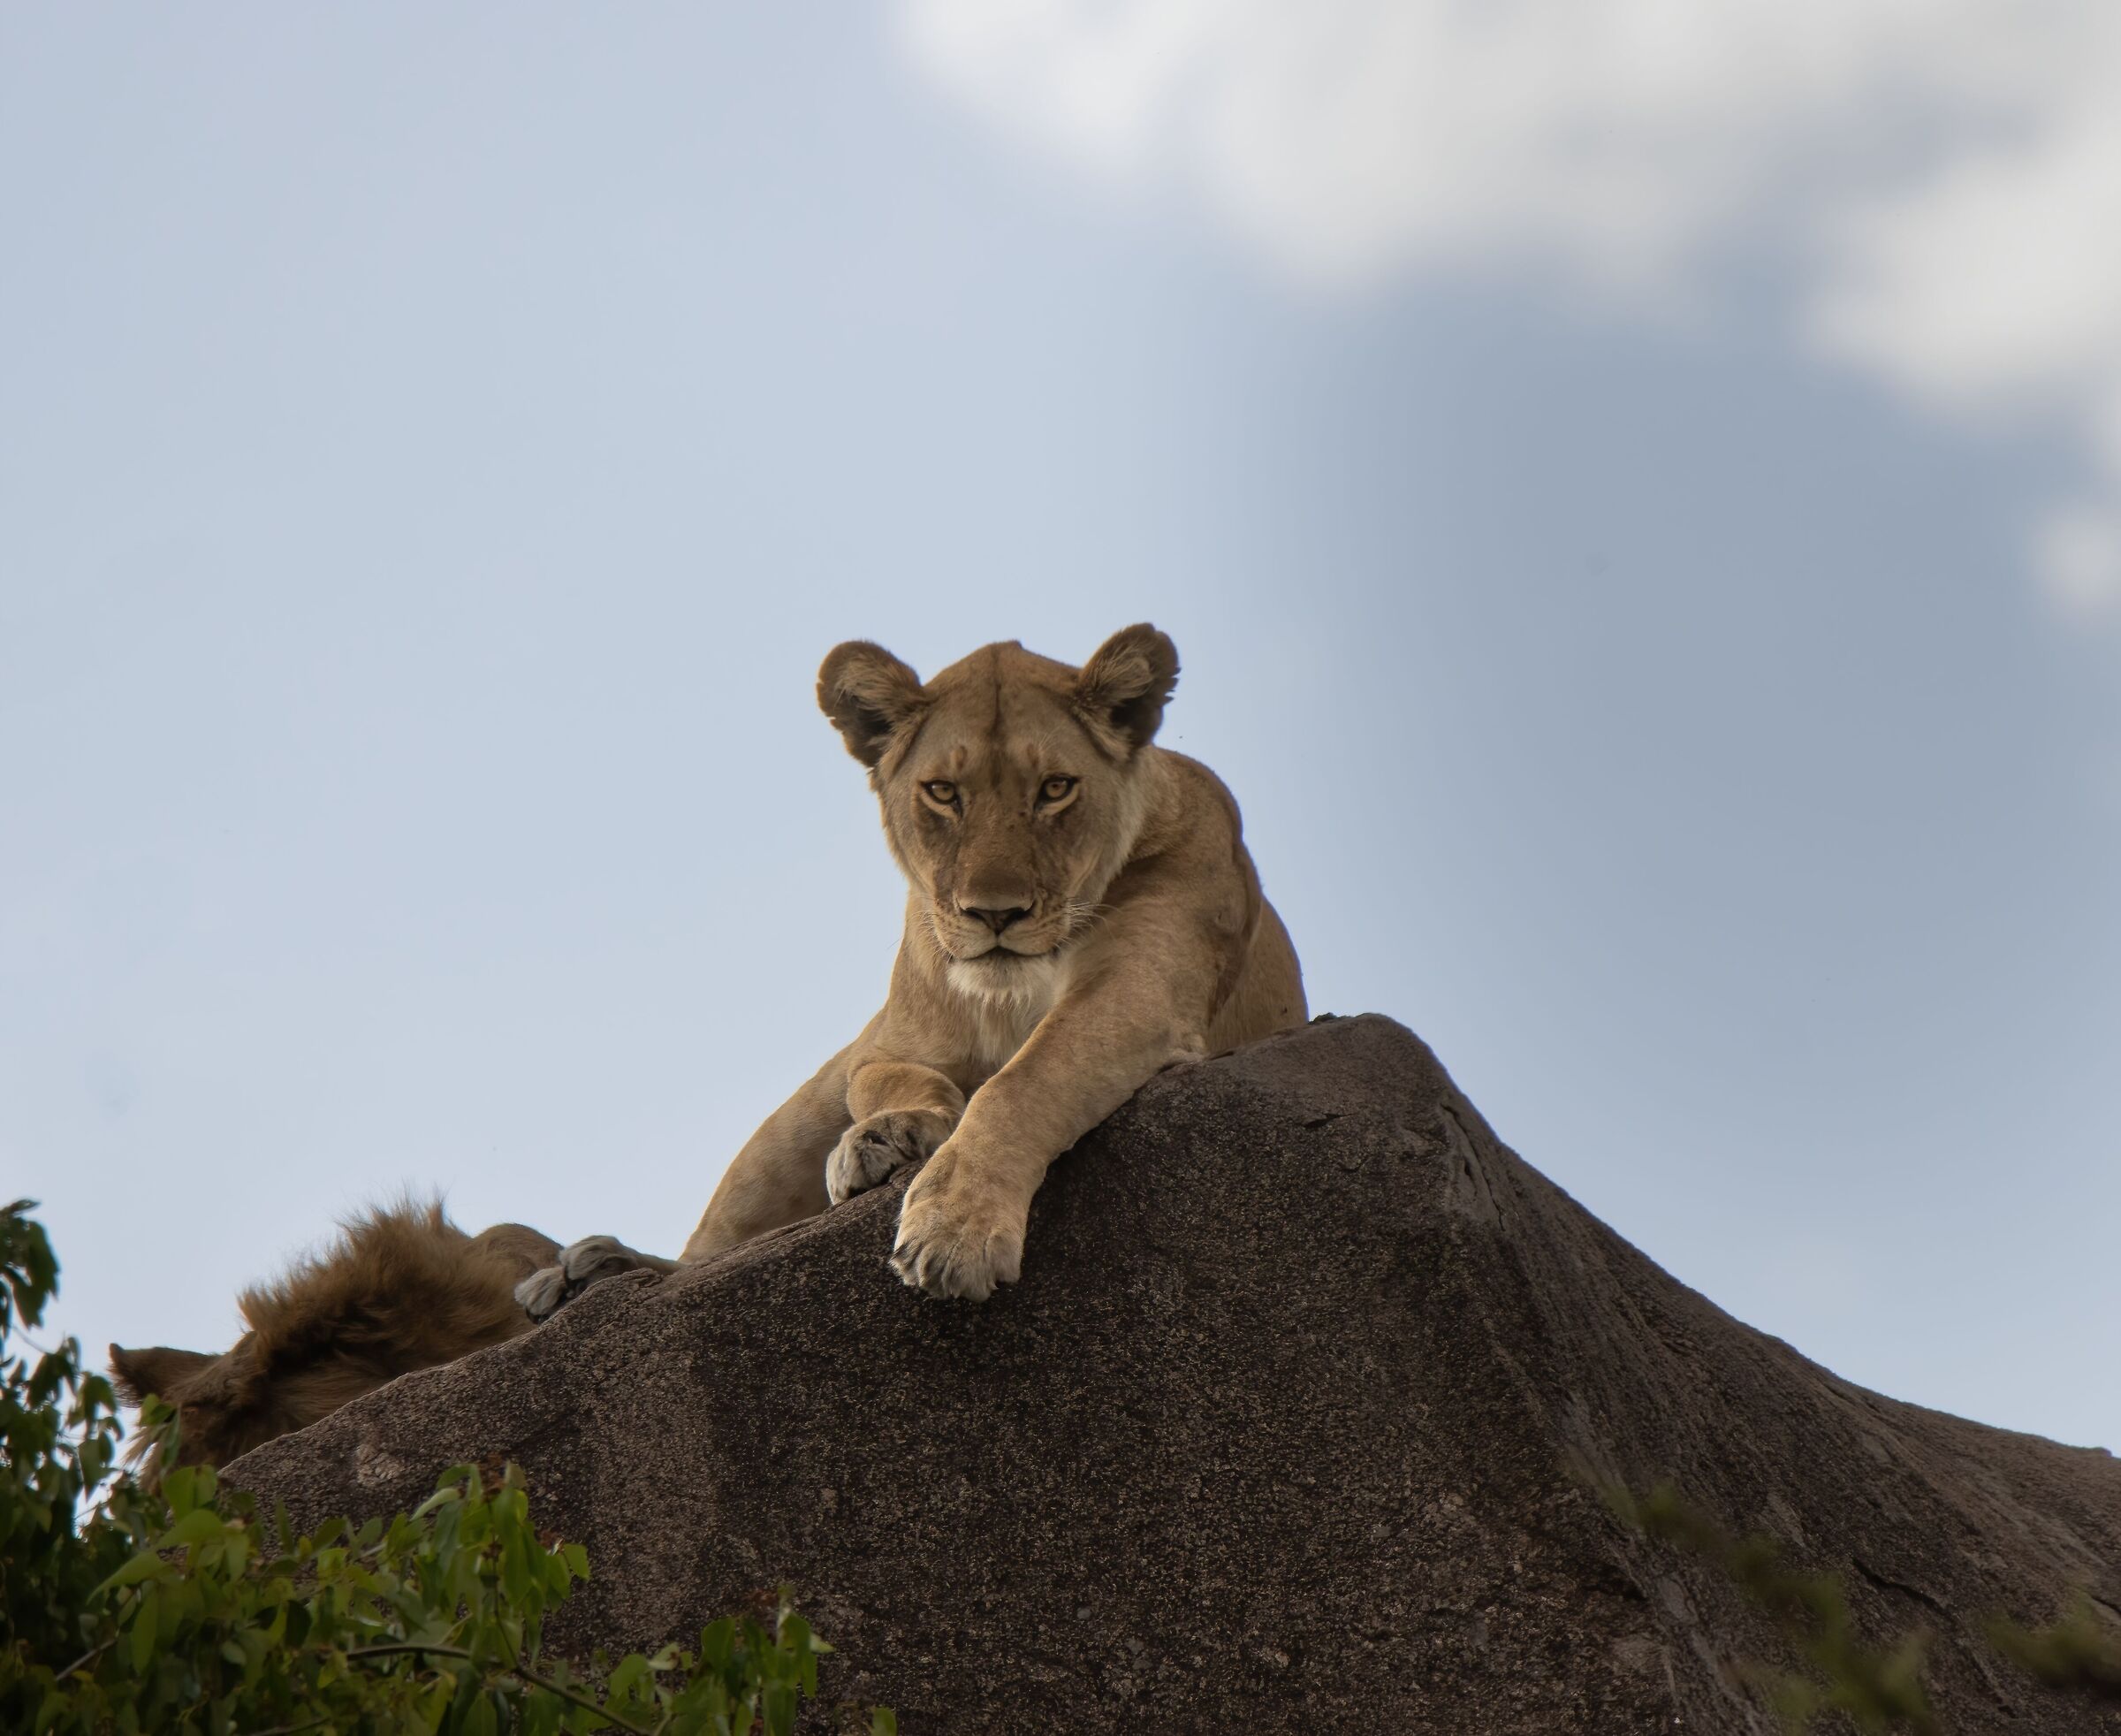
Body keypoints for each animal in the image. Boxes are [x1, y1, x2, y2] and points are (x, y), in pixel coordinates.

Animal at [519, 623, 1306, 1312]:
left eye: (1055, 788)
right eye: (943, 793)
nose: (994, 913)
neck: (1007, 995)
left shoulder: (1139, 990)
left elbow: (1024, 1084)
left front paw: (953, 1229)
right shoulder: (885, 1044)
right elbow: (892, 1079)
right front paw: (893, 1135)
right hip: (786, 1129)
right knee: (701, 1255)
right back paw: (587, 1274)